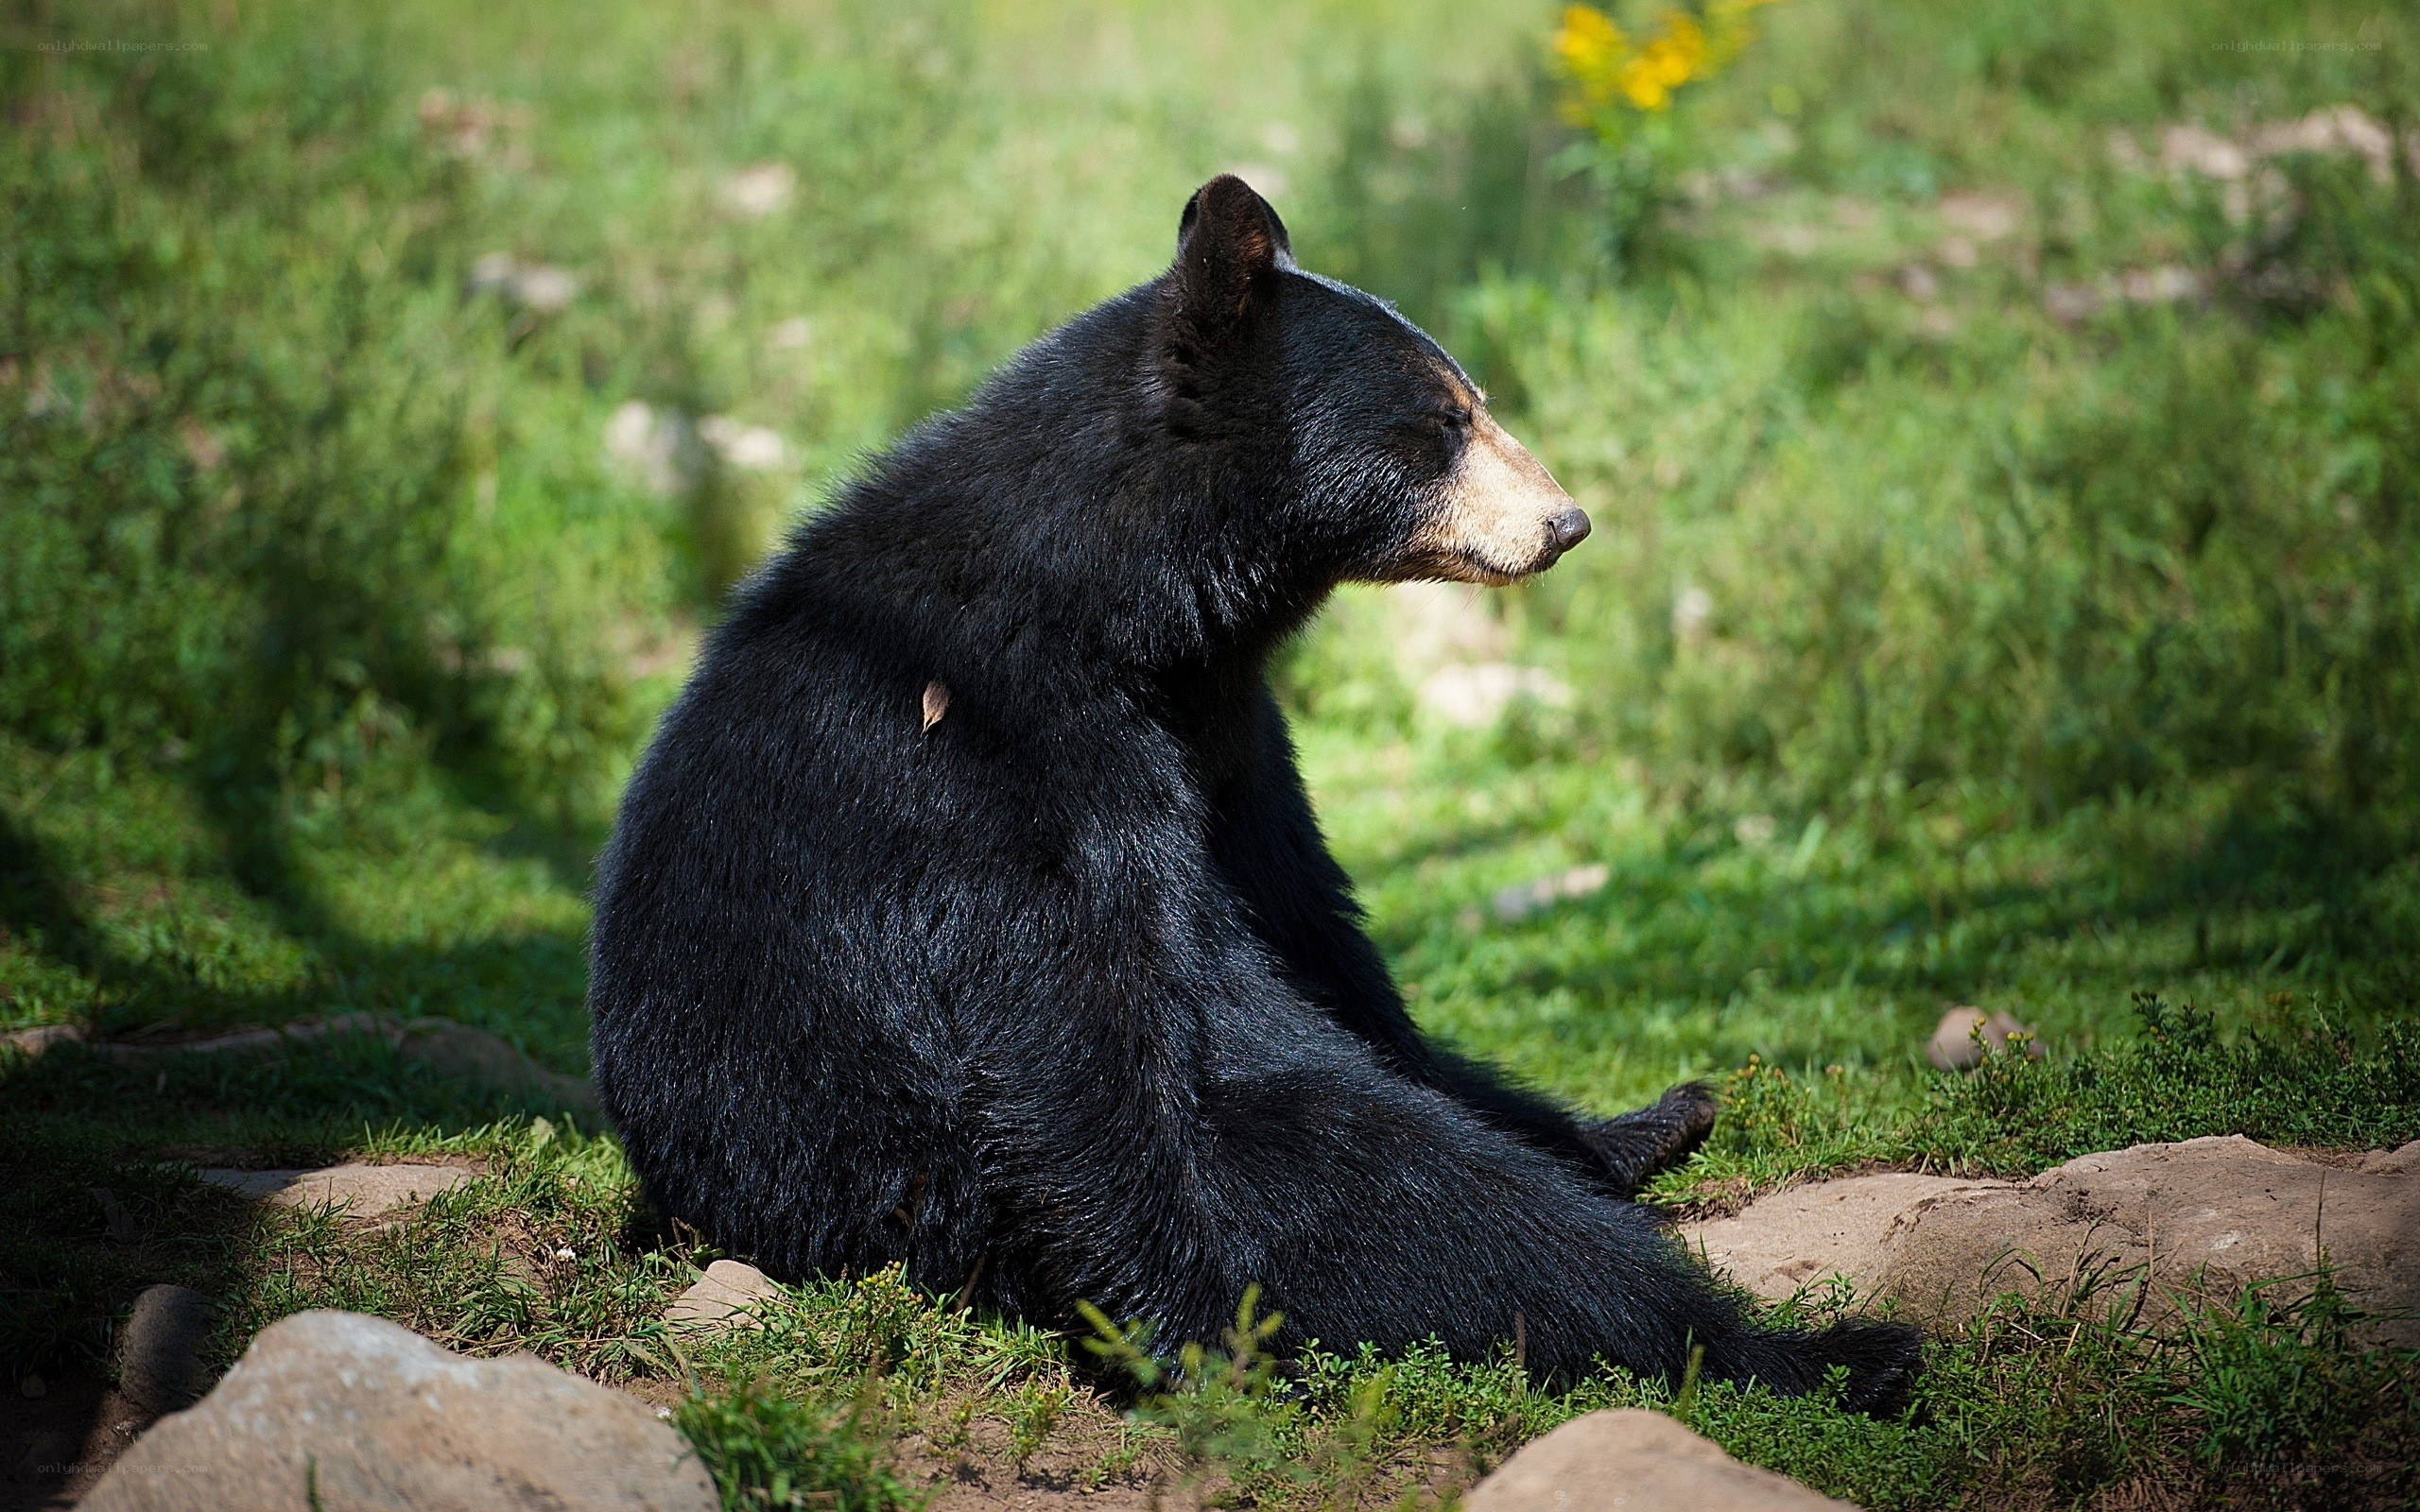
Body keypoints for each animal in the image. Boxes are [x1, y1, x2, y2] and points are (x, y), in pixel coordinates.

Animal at [589, 175, 1920, 1408]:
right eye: (1442, 420)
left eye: (1475, 400)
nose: (1565, 522)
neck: (1127, 609)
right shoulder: (997, 759)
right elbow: (1069, 1034)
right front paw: (1198, 1340)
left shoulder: (1226, 732)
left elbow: (1314, 928)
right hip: (917, 1185)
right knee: (1432, 1202)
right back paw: (1824, 1350)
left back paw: (1650, 1125)